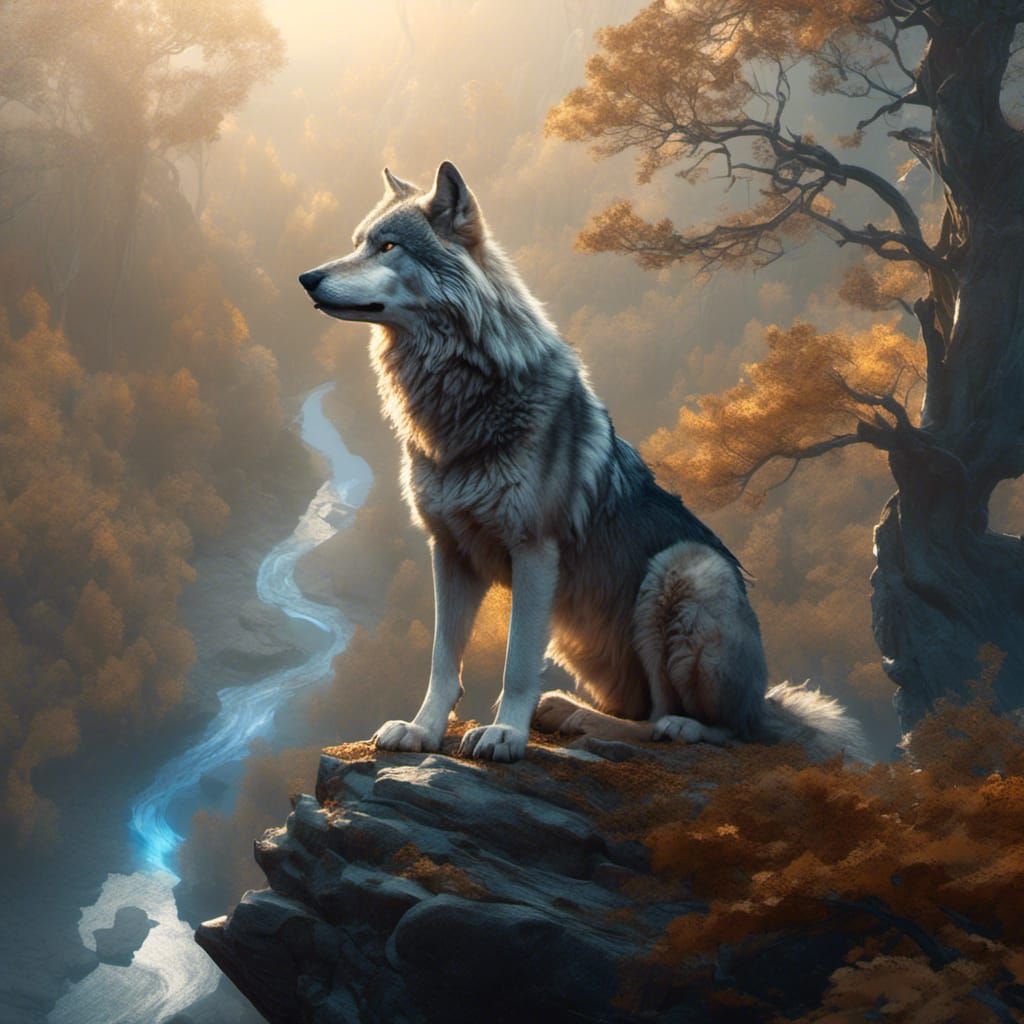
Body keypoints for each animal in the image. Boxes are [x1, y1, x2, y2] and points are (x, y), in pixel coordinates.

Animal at [299, 161, 869, 764]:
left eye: (387, 247)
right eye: (357, 244)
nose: (307, 278)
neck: (462, 399)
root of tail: (764, 699)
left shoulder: (535, 551)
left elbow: (516, 663)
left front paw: (505, 733)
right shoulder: (448, 550)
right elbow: (441, 660)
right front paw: (422, 731)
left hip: (682, 570)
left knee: (699, 725)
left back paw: (645, 724)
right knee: (643, 711)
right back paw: (566, 711)